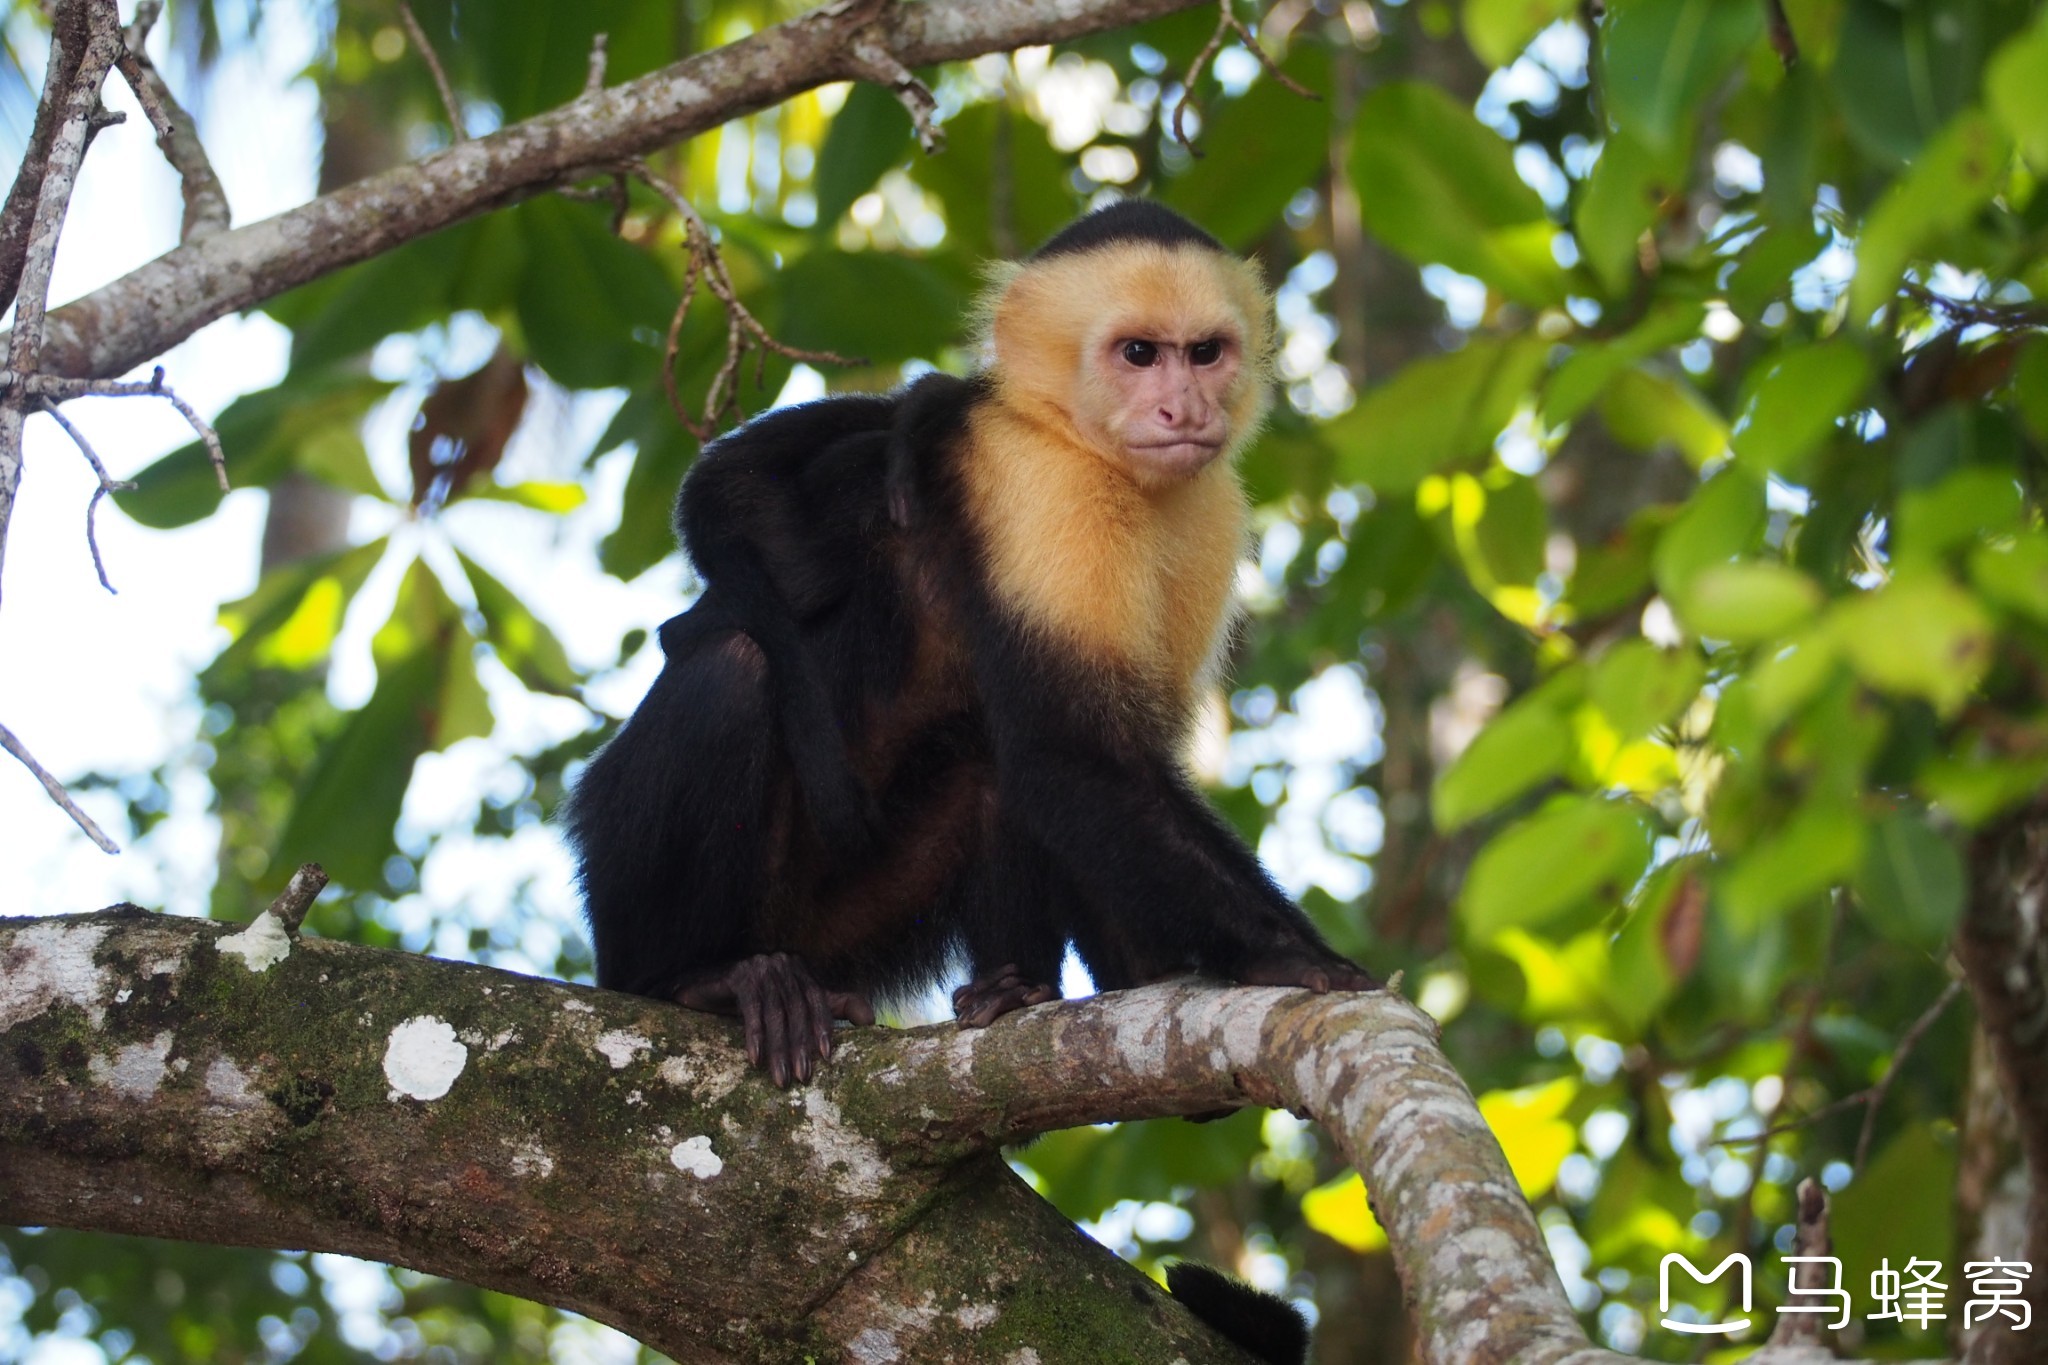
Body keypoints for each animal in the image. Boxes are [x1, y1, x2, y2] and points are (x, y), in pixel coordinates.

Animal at [565, 200, 1376, 1088]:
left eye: (1205, 353)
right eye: (1138, 353)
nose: (1187, 410)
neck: (1076, 439)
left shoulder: (1210, 509)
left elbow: (1098, 759)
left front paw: (1149, 968)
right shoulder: (1041, 483)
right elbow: (1073, 755)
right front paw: (1288, 955)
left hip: (852, 932)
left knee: (986, 762)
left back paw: (1013, 986)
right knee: (735, 670)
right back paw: (692, 978)